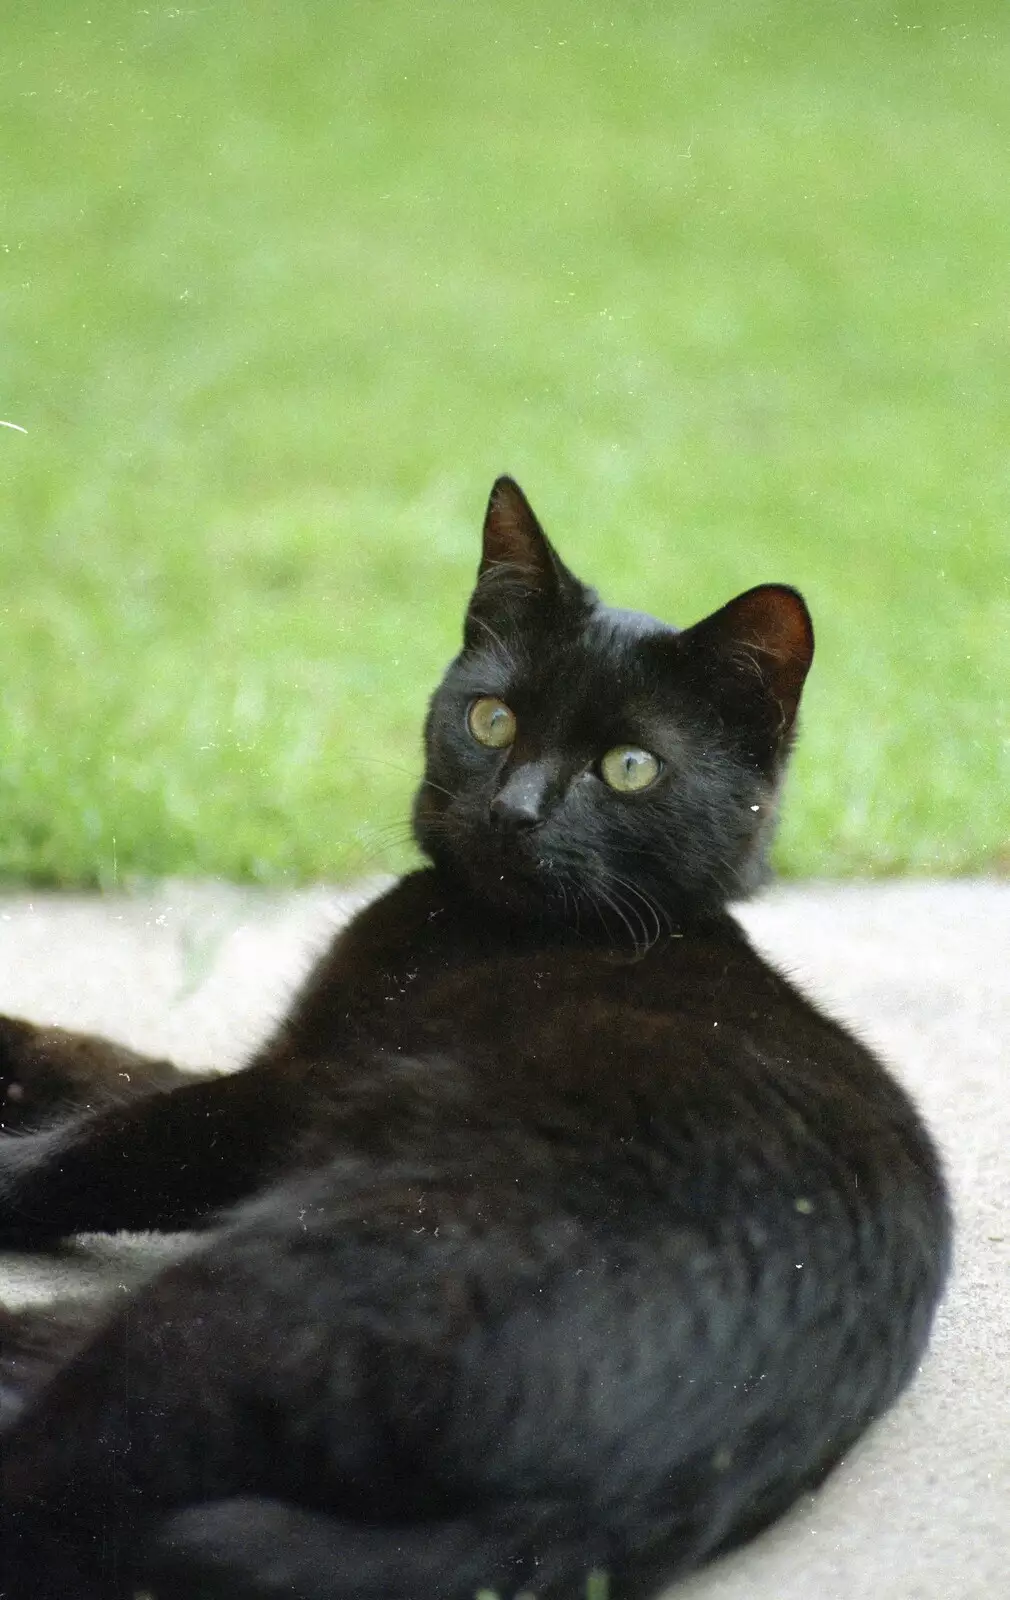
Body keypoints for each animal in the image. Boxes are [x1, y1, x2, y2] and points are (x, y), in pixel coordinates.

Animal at [0, 480, 953, 1600]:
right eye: (491, 717)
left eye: (629, 767)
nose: (513, 809)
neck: (507, 922)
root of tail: (611, 1502)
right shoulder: (280, 1053)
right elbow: (114, 1069)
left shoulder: (295, 1087)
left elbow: (105, 1140)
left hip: (246, 1297)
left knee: (63, 1483)